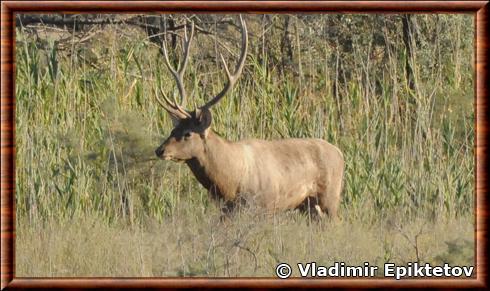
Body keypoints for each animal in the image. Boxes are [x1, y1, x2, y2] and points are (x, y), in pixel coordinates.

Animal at [154, 16, 344, 220]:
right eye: (173, 129)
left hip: (330, 197)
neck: (230, 183)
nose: (160, 150)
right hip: (308, 205)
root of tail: (340, 153)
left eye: (188, 133)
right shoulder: (227, 210)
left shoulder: (261, 205)